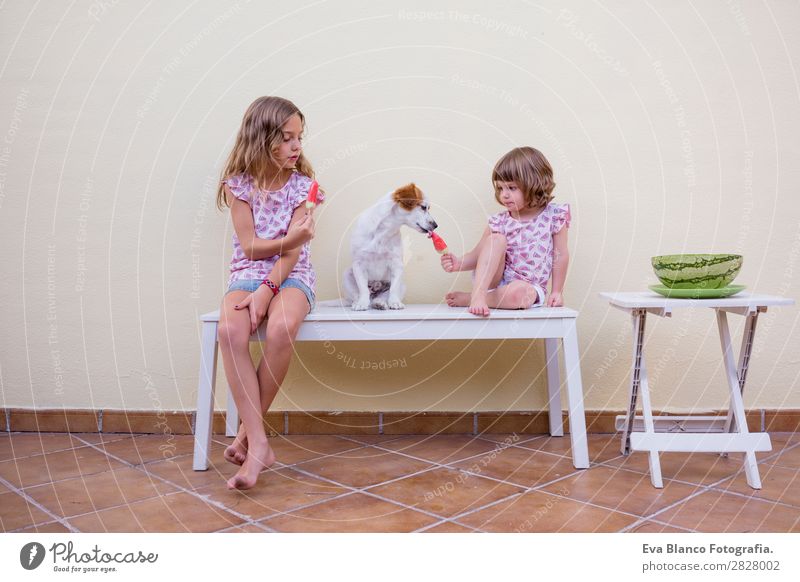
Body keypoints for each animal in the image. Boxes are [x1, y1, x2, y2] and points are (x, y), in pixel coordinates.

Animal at [344, 184, 438, 312]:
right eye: (423, 207)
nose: (436, 225)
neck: (383, 232)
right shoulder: (358, 264)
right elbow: (363, 289)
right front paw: (361, 303)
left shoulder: (396, 264)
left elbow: (393, 289)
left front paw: (394, 302)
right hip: (347, 275)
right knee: (358, 295)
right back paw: (358, 302)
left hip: (402, 285)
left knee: (382, 297)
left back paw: (379, 303)